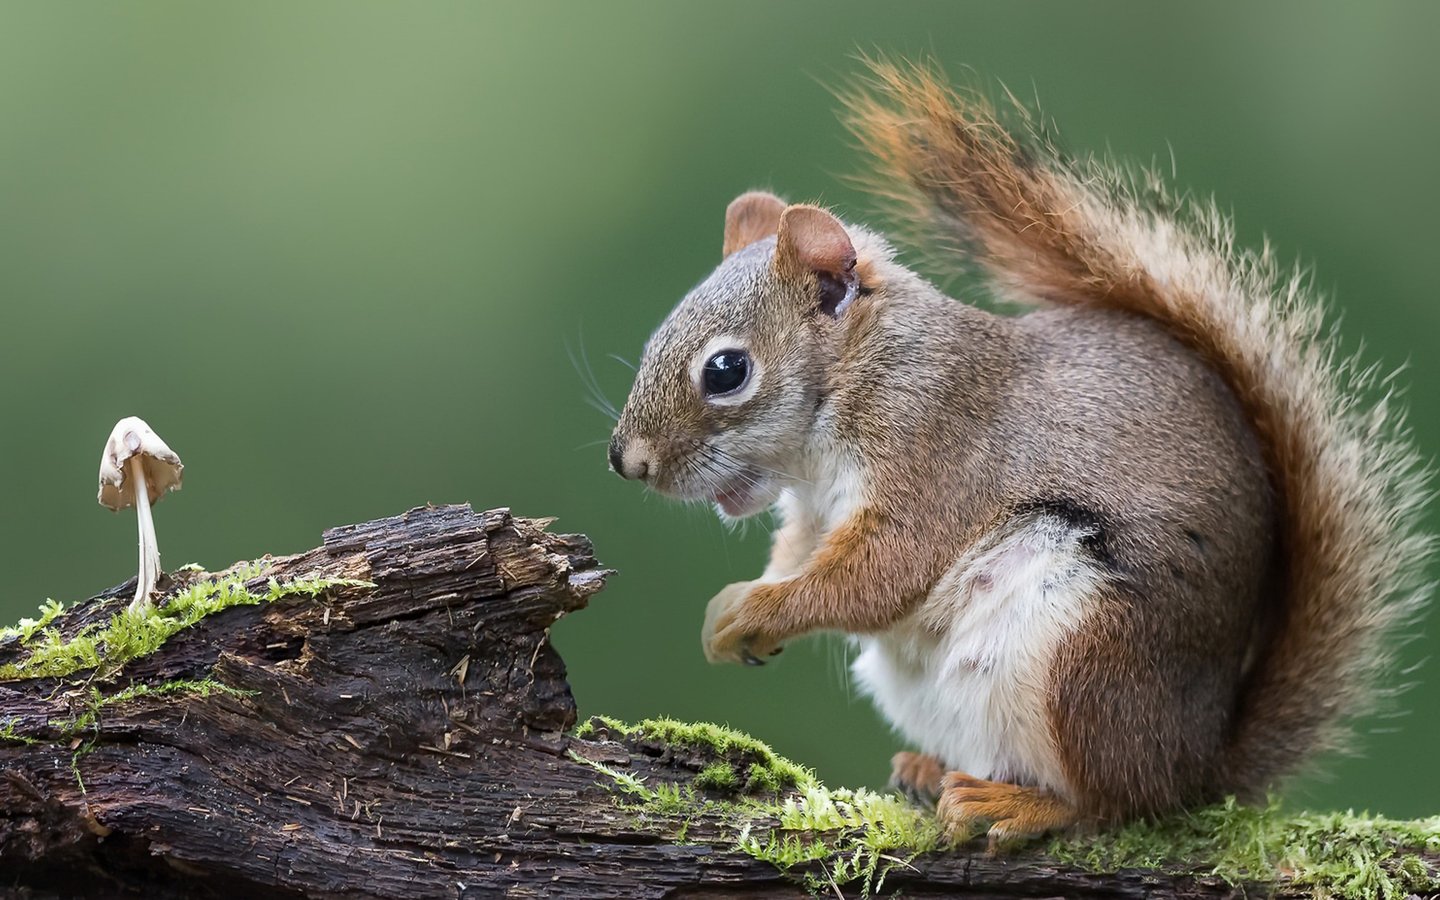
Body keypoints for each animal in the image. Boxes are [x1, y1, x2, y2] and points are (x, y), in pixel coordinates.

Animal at [601, 59, 1422, 846]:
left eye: (726, 370)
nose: (626, 462)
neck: (858, 383)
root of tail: (1200, 761)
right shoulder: (812, 513)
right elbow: (801, 557)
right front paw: (733, 612)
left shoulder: (935, 455)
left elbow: (877, 577)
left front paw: (755, 610)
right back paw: (932, 770)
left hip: (1083, 654)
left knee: (1116, 804)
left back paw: (1019, 805)